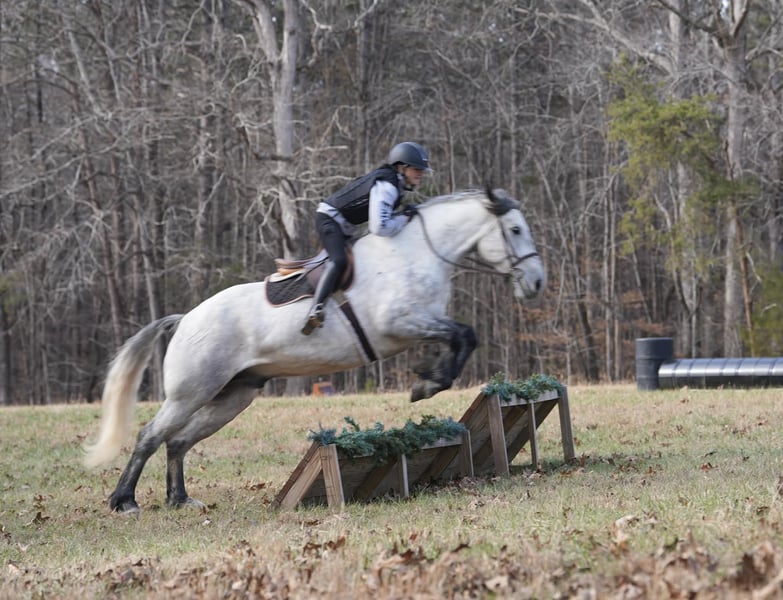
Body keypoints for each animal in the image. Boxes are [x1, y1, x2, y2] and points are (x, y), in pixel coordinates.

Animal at [84, 187, 546, 513]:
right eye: (516, 230)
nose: (537, 282)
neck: (416, 253)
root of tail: (184, 320)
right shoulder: (400, 323)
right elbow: (463, 335)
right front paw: (427, 384)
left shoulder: (422, 323)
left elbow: (463, 337)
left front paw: (429, 379)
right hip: (191, 392)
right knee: (150, 436)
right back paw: (124, 501)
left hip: (233, 395)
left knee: (178, 441)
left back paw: (180, 499)